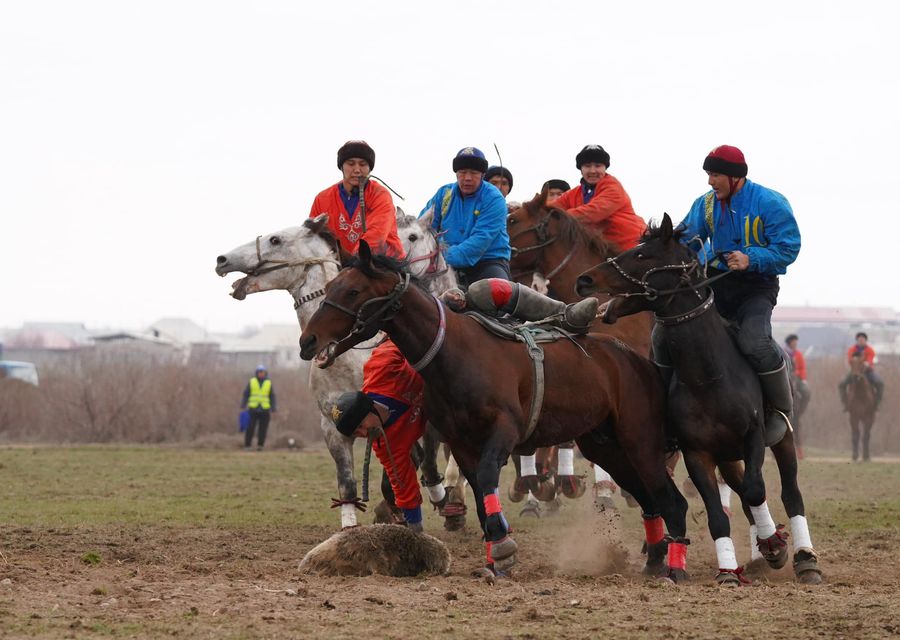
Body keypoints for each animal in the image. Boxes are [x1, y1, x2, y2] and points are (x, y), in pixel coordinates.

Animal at [298, 241, 688, 580]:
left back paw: (674, 568)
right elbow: (479, 495)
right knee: (650, 499)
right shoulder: (461, 444)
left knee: (670, 499)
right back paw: (655, 559)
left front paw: (503, 548)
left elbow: (487, 479)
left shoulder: (503, 432)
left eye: (352, 291)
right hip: (605, 446)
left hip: (639, 443)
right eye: (330, 286)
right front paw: (493, 560)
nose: (307, 340)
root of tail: (638, 360)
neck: (455, 352)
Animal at [576, 215, 824, 584]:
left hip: (782, 439)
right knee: (740, 490)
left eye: (642, 255)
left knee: (789, 494)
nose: (585, 279)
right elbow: (720, 512)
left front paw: (774, 545)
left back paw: (804, 558)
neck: (709, 377)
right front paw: (730, 569)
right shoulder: (698, 453)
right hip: (723, 455)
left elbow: (756, 489)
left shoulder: (753, 436)